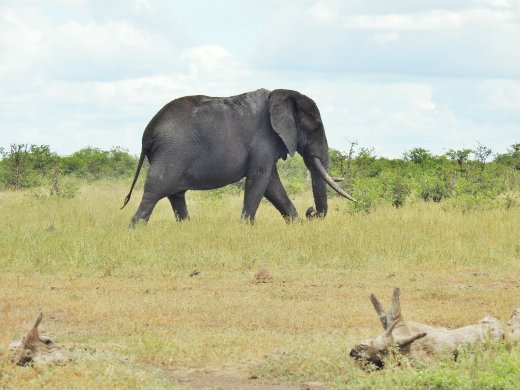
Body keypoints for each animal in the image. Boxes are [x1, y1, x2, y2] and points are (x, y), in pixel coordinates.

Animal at [123, 87, 354, 224]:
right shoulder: (264, 139)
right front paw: (245, 227)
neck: (281, 95)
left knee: (176, 195)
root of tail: (147, 134)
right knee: (155, 190)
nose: (311, 212)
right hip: (171, 152)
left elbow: (272, 184)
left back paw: (186, 228)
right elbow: (260, 179)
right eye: (316, 128)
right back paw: (135, 229)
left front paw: (295, 224)